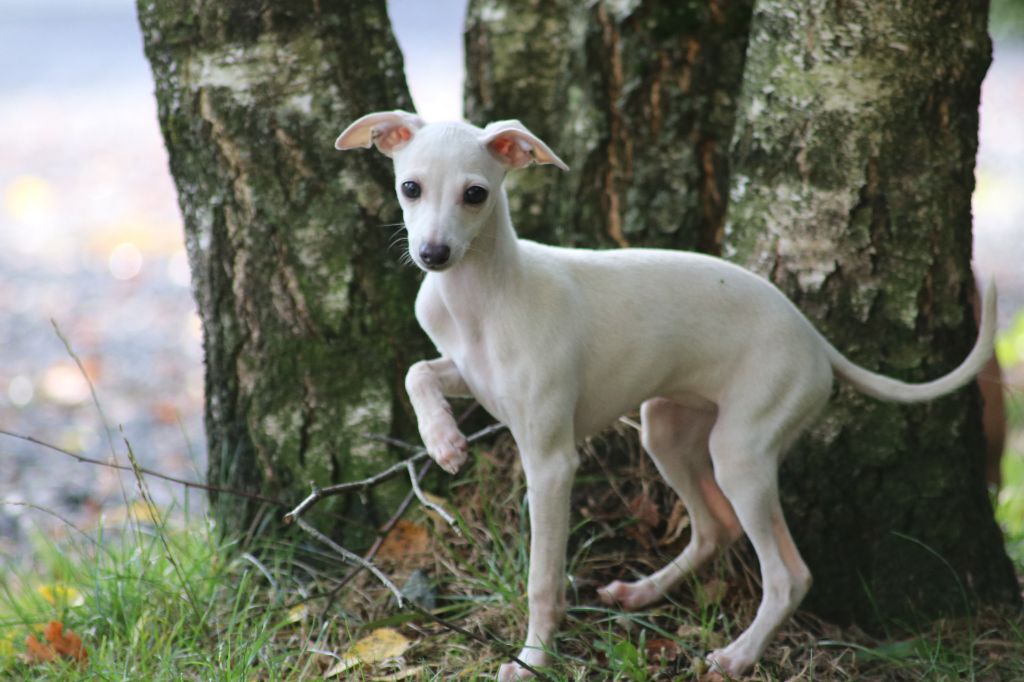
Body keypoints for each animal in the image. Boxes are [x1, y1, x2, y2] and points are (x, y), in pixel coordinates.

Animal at [337, 109, 999, 675]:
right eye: (410, 187)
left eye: (475, 194)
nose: (433, 254)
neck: (484, 296)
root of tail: (814, 338)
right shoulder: (466, 371)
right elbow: (417, 372)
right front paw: (443, 441)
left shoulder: (551, 463)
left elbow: (542, 579)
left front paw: (532, 661)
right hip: (667, 430)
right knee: (714, 528)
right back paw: (644, 591)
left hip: (740, 455)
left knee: (788, 574)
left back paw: (737, 656)